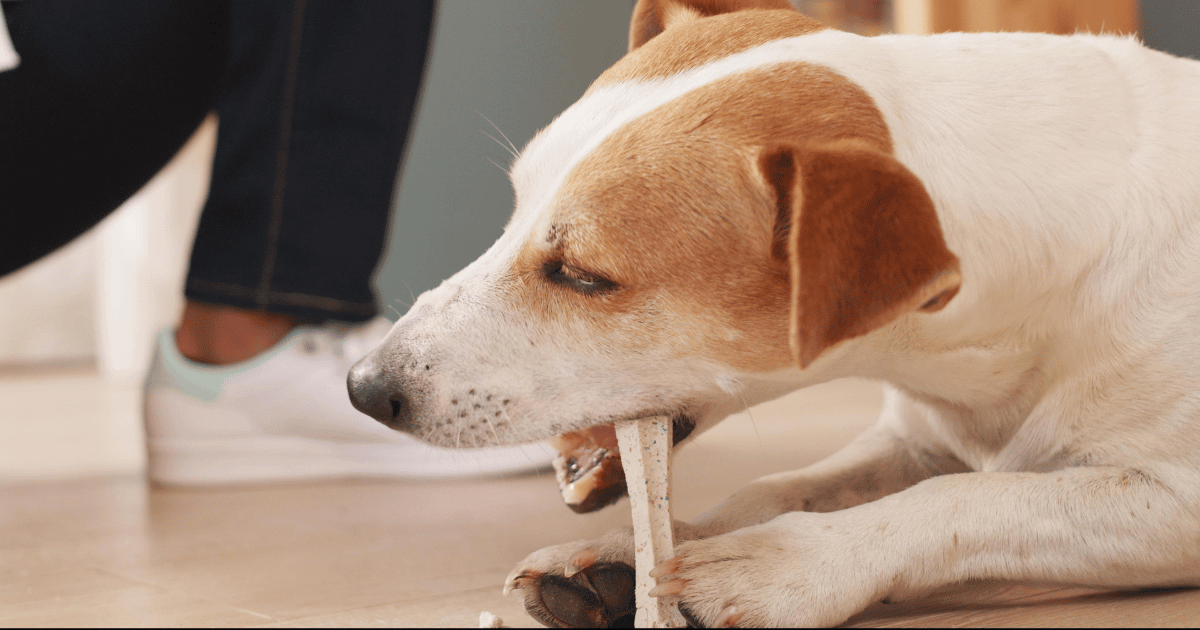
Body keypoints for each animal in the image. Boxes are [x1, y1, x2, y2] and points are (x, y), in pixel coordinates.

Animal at [348, 1, 1200, 624]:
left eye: (584, 275)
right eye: (514, 207)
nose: (363, 387)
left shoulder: (1172, 499)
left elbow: (966, 500)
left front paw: (783, 565)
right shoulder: (915, 439)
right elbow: (776, 486)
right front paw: (634, 555)